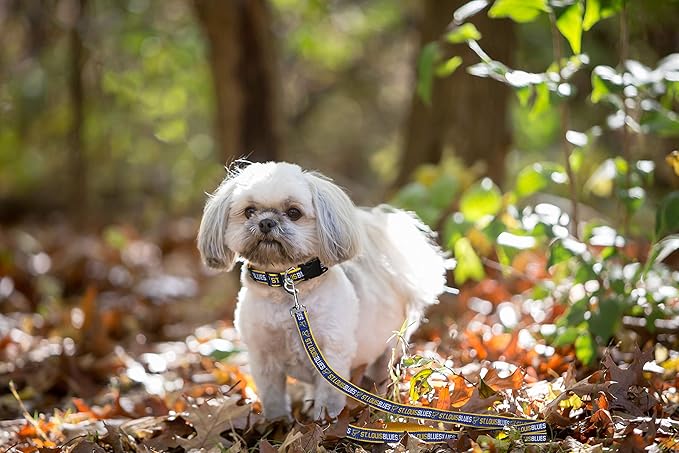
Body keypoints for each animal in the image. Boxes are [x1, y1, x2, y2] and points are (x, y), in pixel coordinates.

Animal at [197, 162, 446, 420]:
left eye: (293, 212)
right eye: (249, 211)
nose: (266, 222)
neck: (286, 285)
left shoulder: (331, 353)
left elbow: (328, 395)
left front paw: (324, 421)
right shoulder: (263, 357)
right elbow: (273, 397)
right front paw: (277, 422)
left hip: (389, 346)